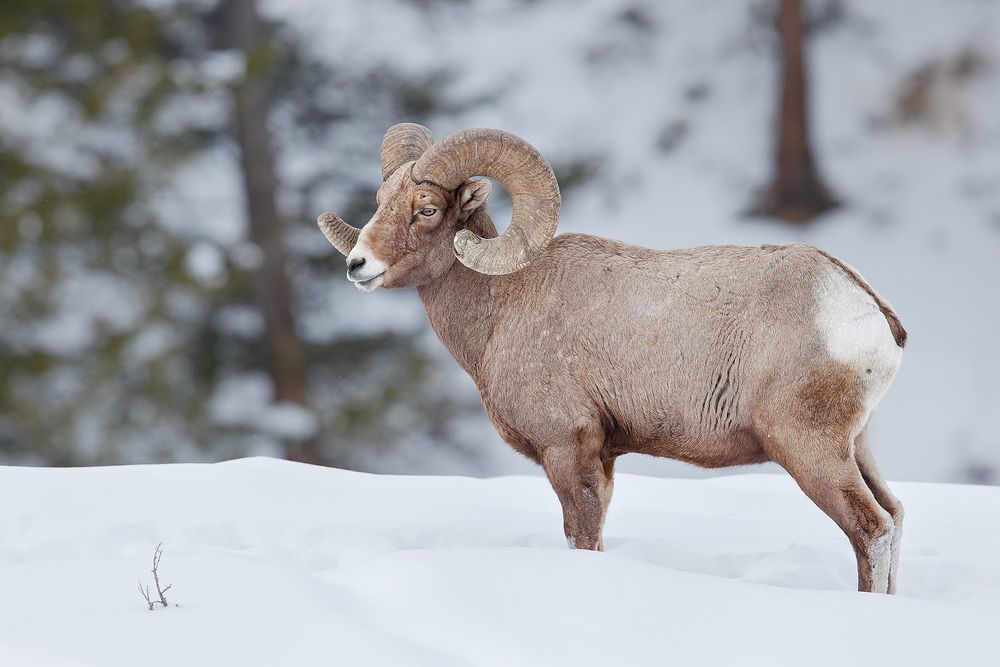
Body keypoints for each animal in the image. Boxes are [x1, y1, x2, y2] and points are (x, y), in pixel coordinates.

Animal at [318, 123, 907, 594]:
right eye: (380, 200)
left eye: (427, 209)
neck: (504, 306)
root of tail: (863, 306)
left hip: (809, 450)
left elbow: (582, 536)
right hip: (856, 446)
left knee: (871, 530)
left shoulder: (567, 447)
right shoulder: (604, 456)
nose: (357, 265)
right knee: (895, 517)